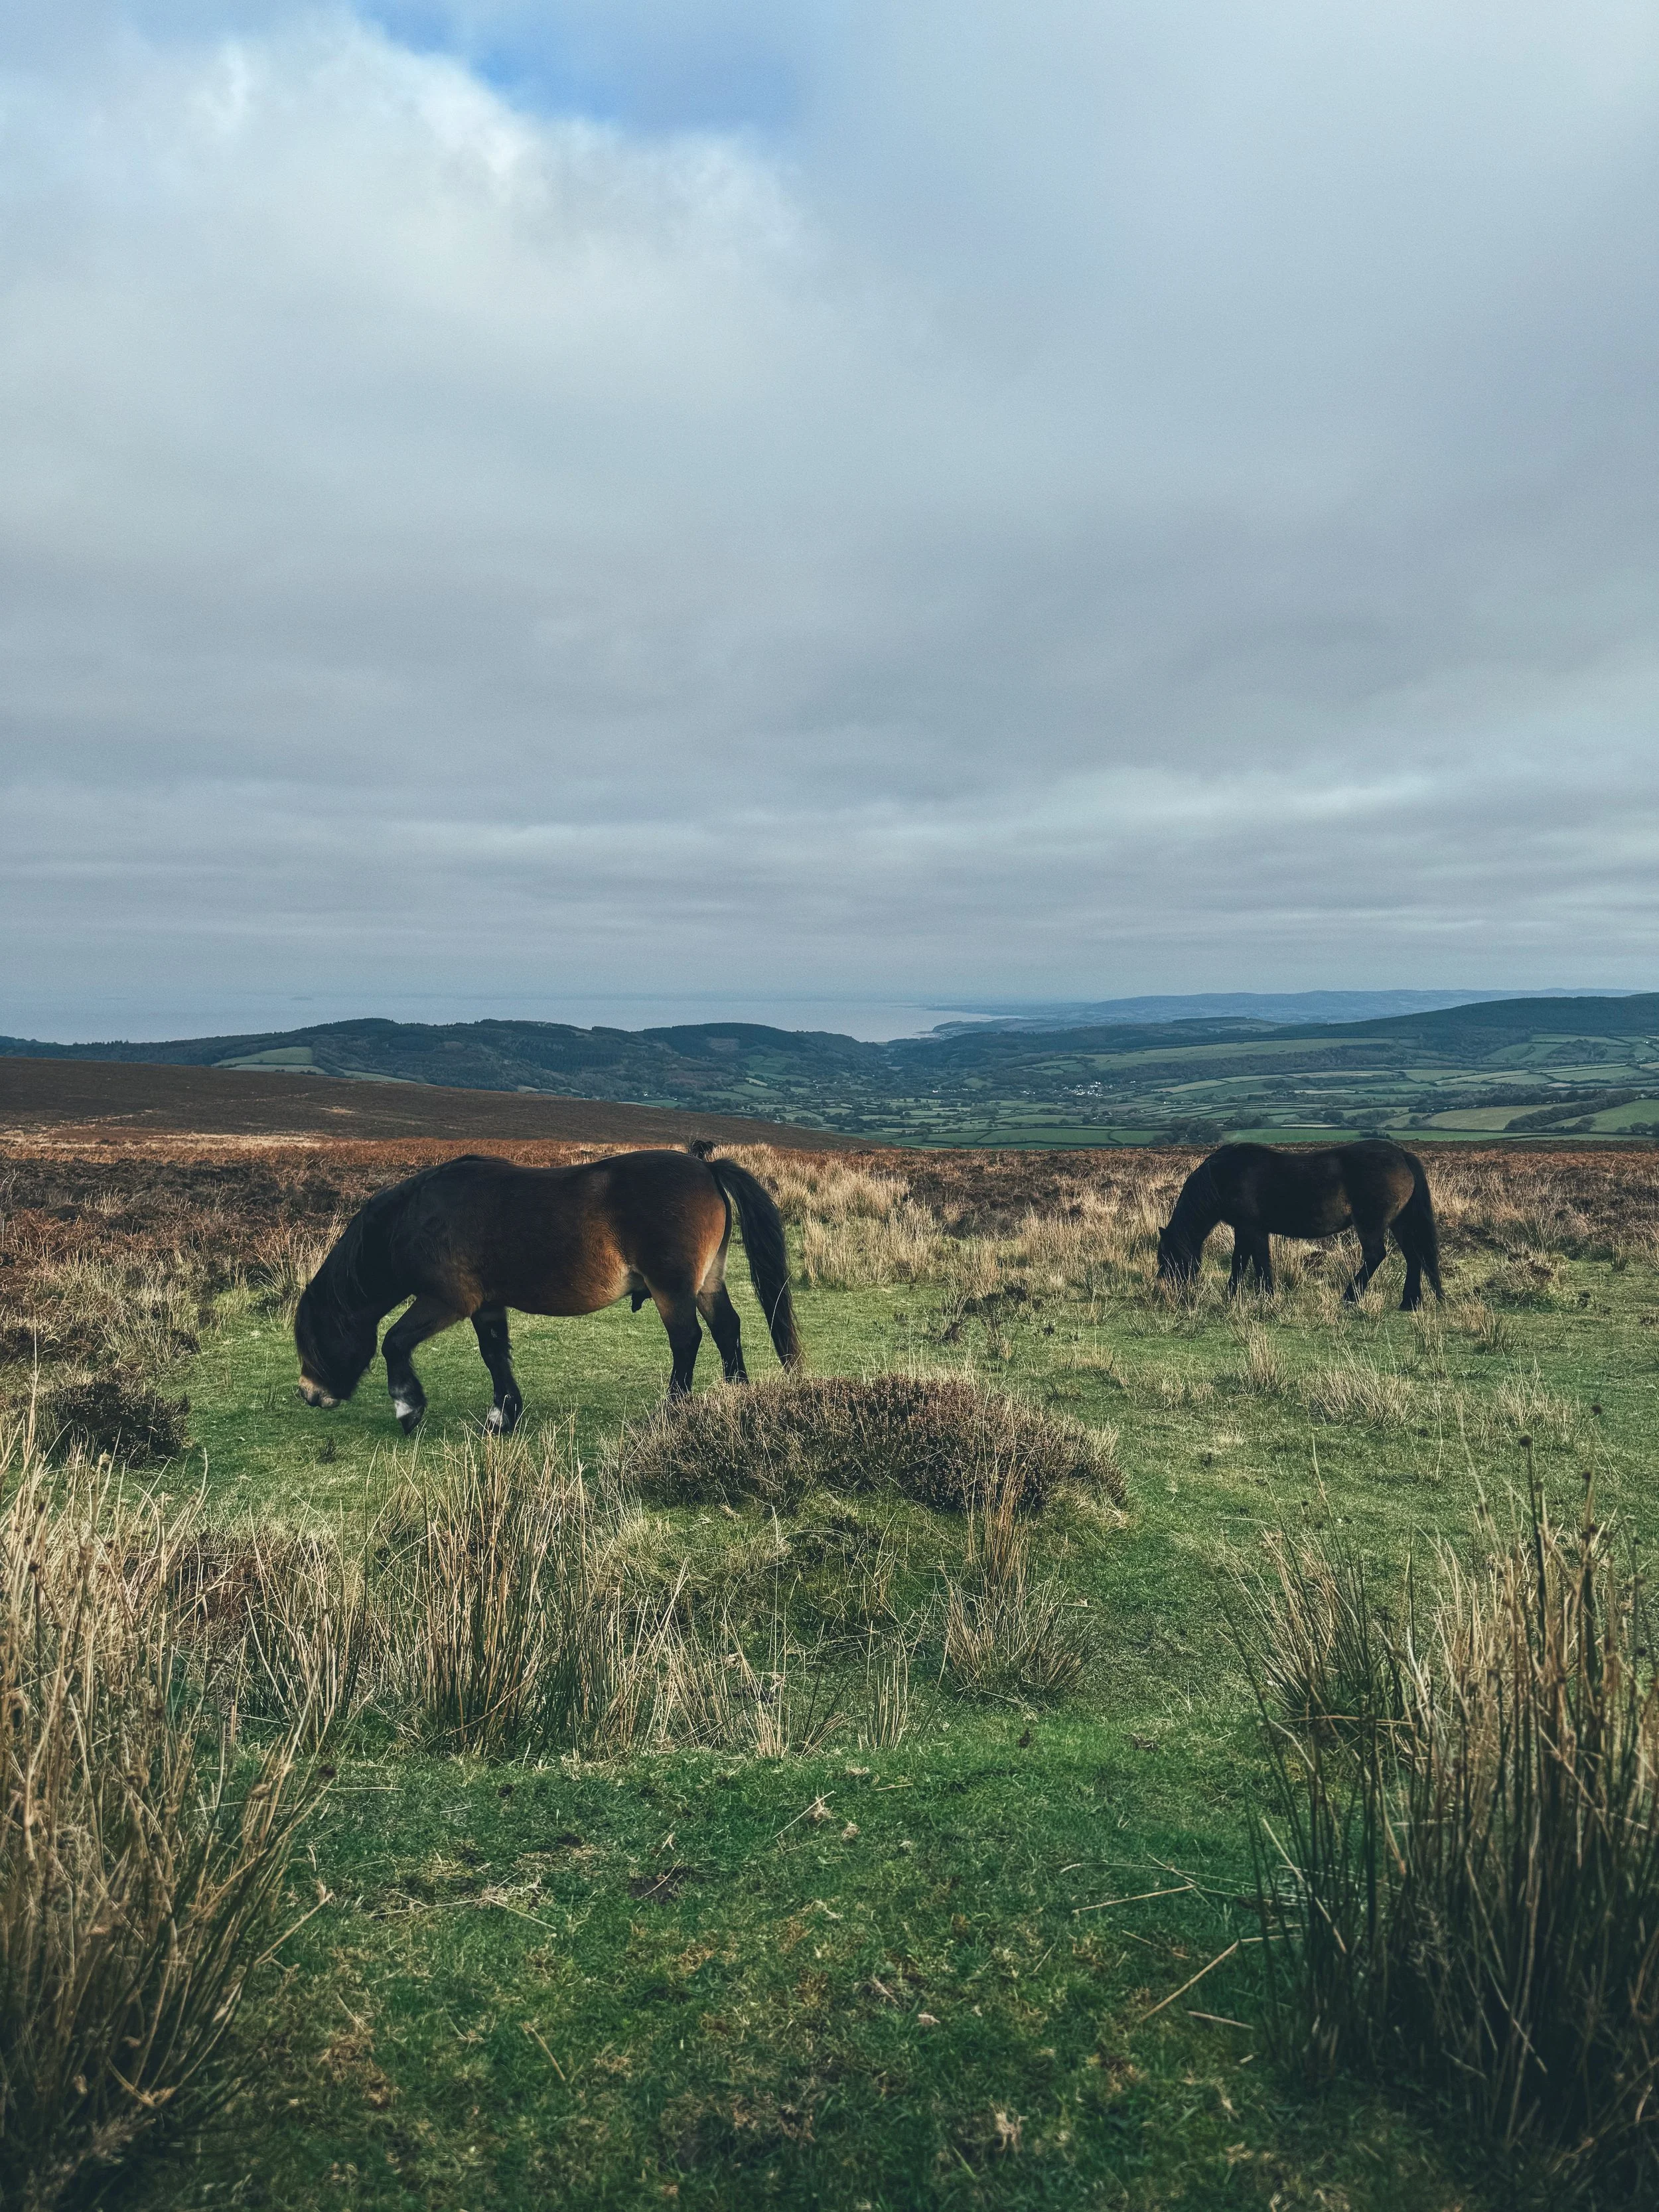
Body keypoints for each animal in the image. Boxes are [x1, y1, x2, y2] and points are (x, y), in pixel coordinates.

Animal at [294, 1147, 801, 1433]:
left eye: (312, 1339)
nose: (308, 1393)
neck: (418, 1216)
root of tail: (706, 1168)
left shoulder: (447, 1300)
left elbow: (394, 1341)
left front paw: (408, 1406)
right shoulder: (487, 1304)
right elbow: (494, 1353)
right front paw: (504, 1414)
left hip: (672, 1288)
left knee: (687, 1340)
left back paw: (673, 1410)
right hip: (707, 1281)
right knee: (726, 1329)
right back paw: (738, 1397)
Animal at [1155, 1139, 1443, 1308]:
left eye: (1168, 1257)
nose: (1166, 1290)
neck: (1224, 1177)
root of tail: (1402, 1155)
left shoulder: (1253, 1228)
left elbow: (1259, 1262)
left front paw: (1266, 1296)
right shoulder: (1244, 1229)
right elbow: (1241, 1261)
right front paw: (1232, 1294)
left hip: (1370, 1225)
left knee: (1375, 1256)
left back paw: (1349, 1298)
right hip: (1400, 1223)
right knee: (1414, 1257)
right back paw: (1410, 1302)